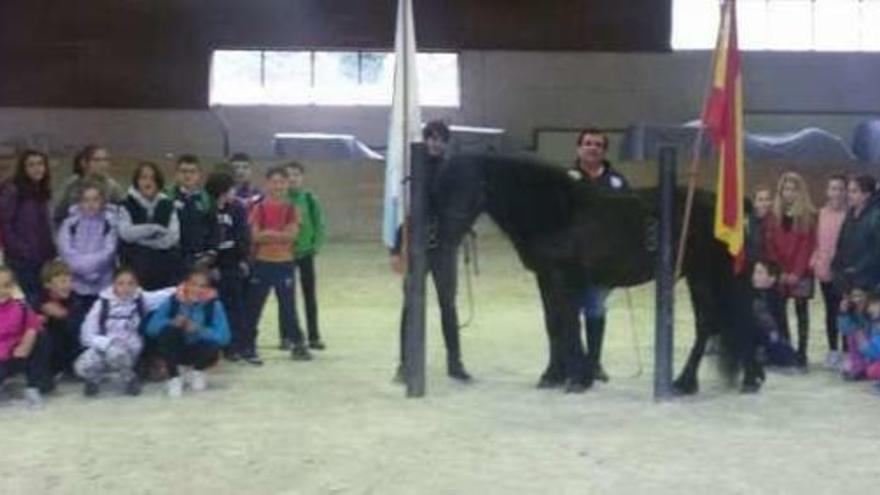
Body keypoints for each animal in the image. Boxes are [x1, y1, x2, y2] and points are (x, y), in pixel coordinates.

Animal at [436, 155, 760, 396]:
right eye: (442, 185)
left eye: (470, 185)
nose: (445, 233)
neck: (557, 212)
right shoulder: (545, 277)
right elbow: (553, 324)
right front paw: (553, 375)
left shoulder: (562, 276)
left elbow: (567, 324)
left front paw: (576, 379)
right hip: (702, 277)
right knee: (726, 322)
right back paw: (738, 380)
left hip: (709, 276)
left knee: (718, 323)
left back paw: (696, 382)